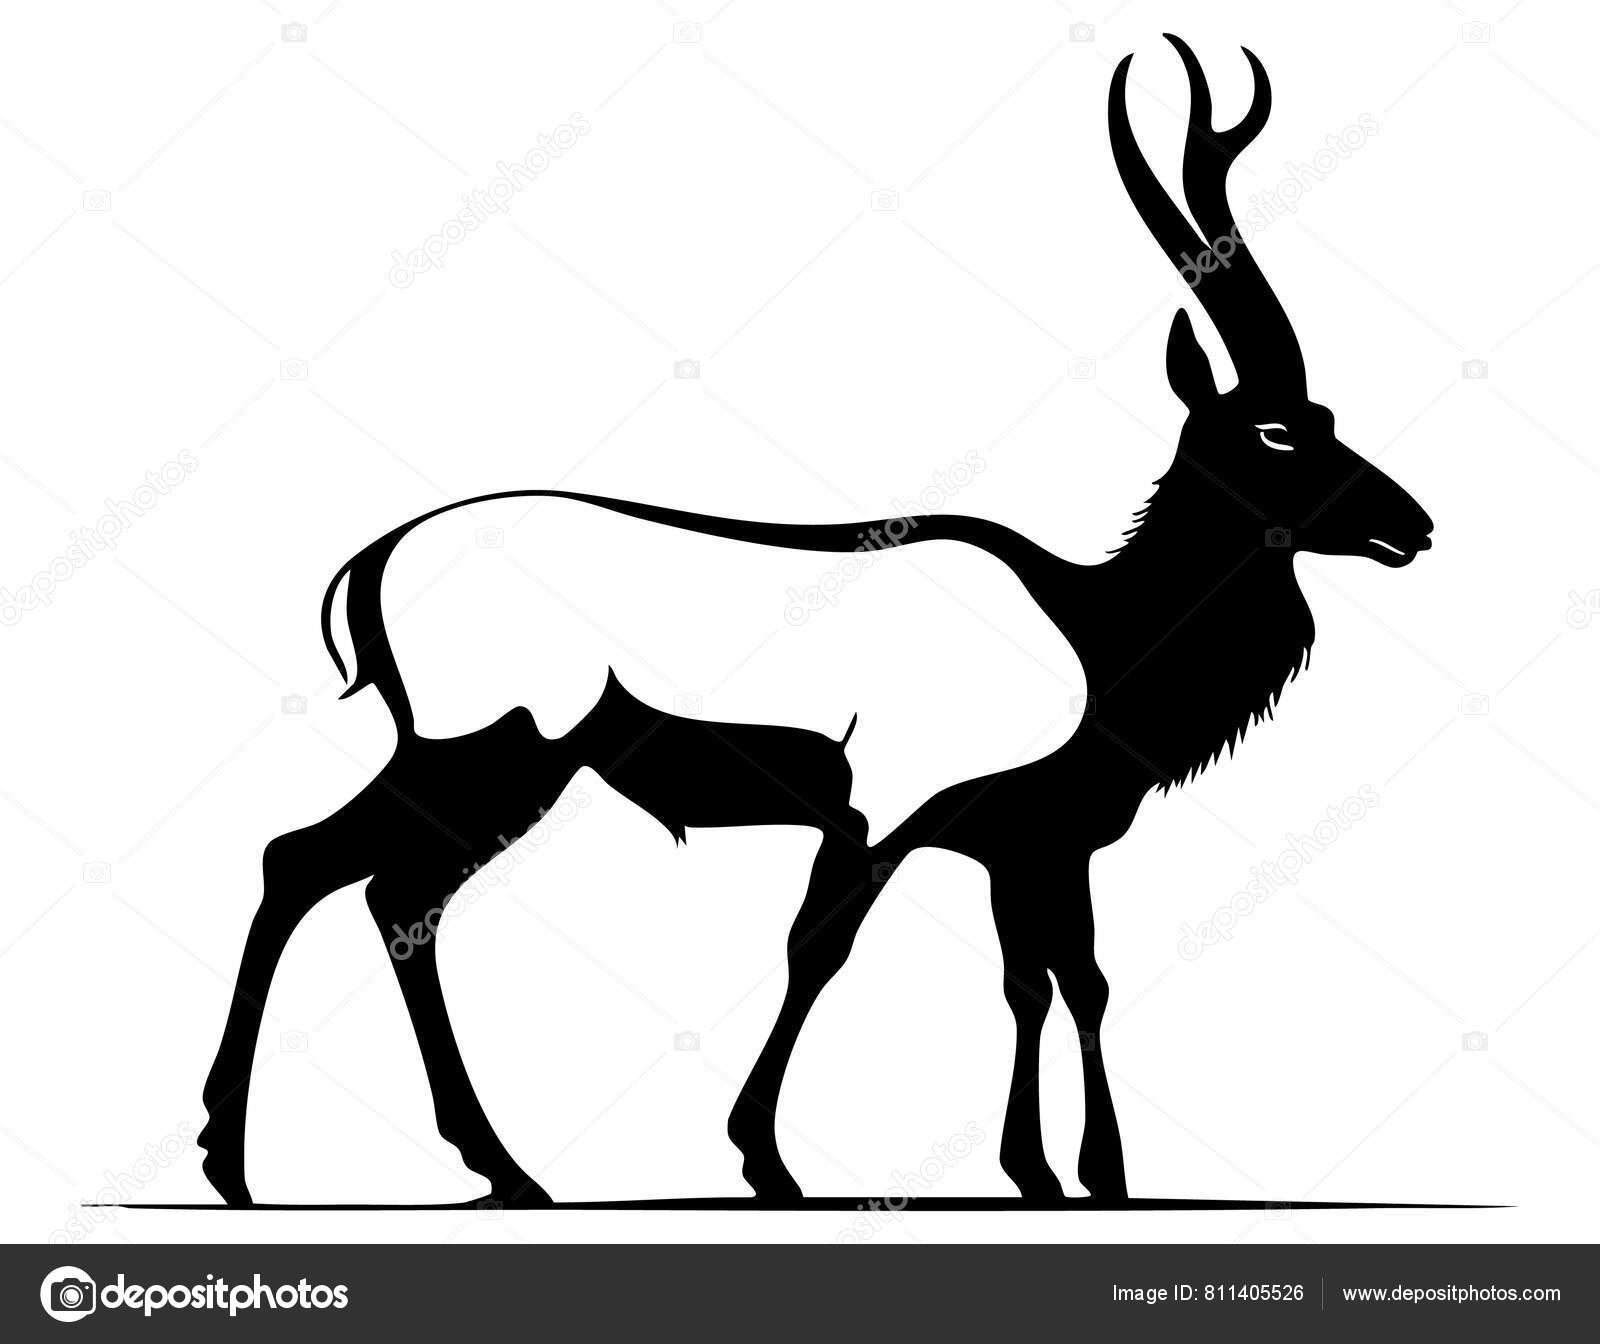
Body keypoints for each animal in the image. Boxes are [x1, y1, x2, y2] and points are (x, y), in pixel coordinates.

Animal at [199, 36, 1432, 1206]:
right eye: (1276, 431)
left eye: (1327, 415)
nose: (1412, 527)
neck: (1104, 638)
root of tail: (371, 561)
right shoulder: (886, 809)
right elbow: (822, 951)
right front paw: (766, 1159)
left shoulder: (1033, 836)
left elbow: (1054, 980)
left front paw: (1066, 1175)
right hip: (493, 746)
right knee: (372, 885)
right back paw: (448, 1166)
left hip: (475, 757)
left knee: (315, 865)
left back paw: (286, 1161)